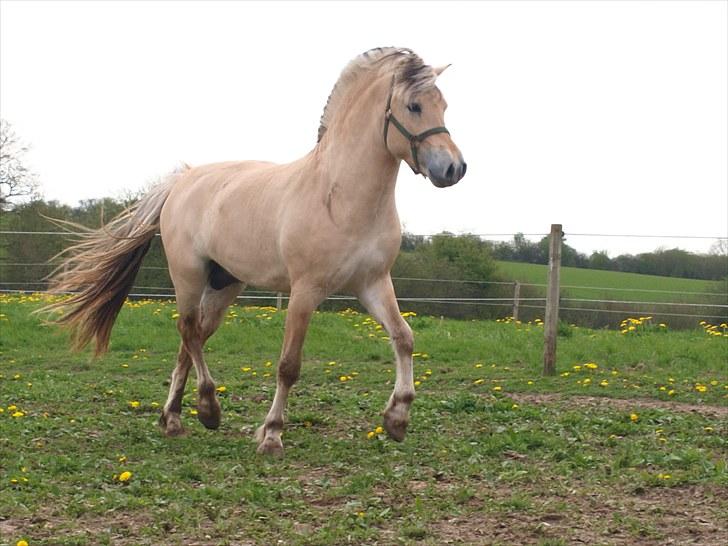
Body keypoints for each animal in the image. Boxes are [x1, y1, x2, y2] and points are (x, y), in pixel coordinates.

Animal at [45, 47, 466, 454]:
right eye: (414, 106)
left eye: (444, 105)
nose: (454, 169)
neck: (340, 194)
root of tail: (183, 179)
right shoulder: (305, 290)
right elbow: (288, 365)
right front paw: (272, 435)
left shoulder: (373, 283)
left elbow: (404, 338)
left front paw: (397, 419)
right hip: (188, 276)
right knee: (188, 331)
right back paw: (208, 409)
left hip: (224, 285)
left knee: (191, 339)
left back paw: (174, 418)